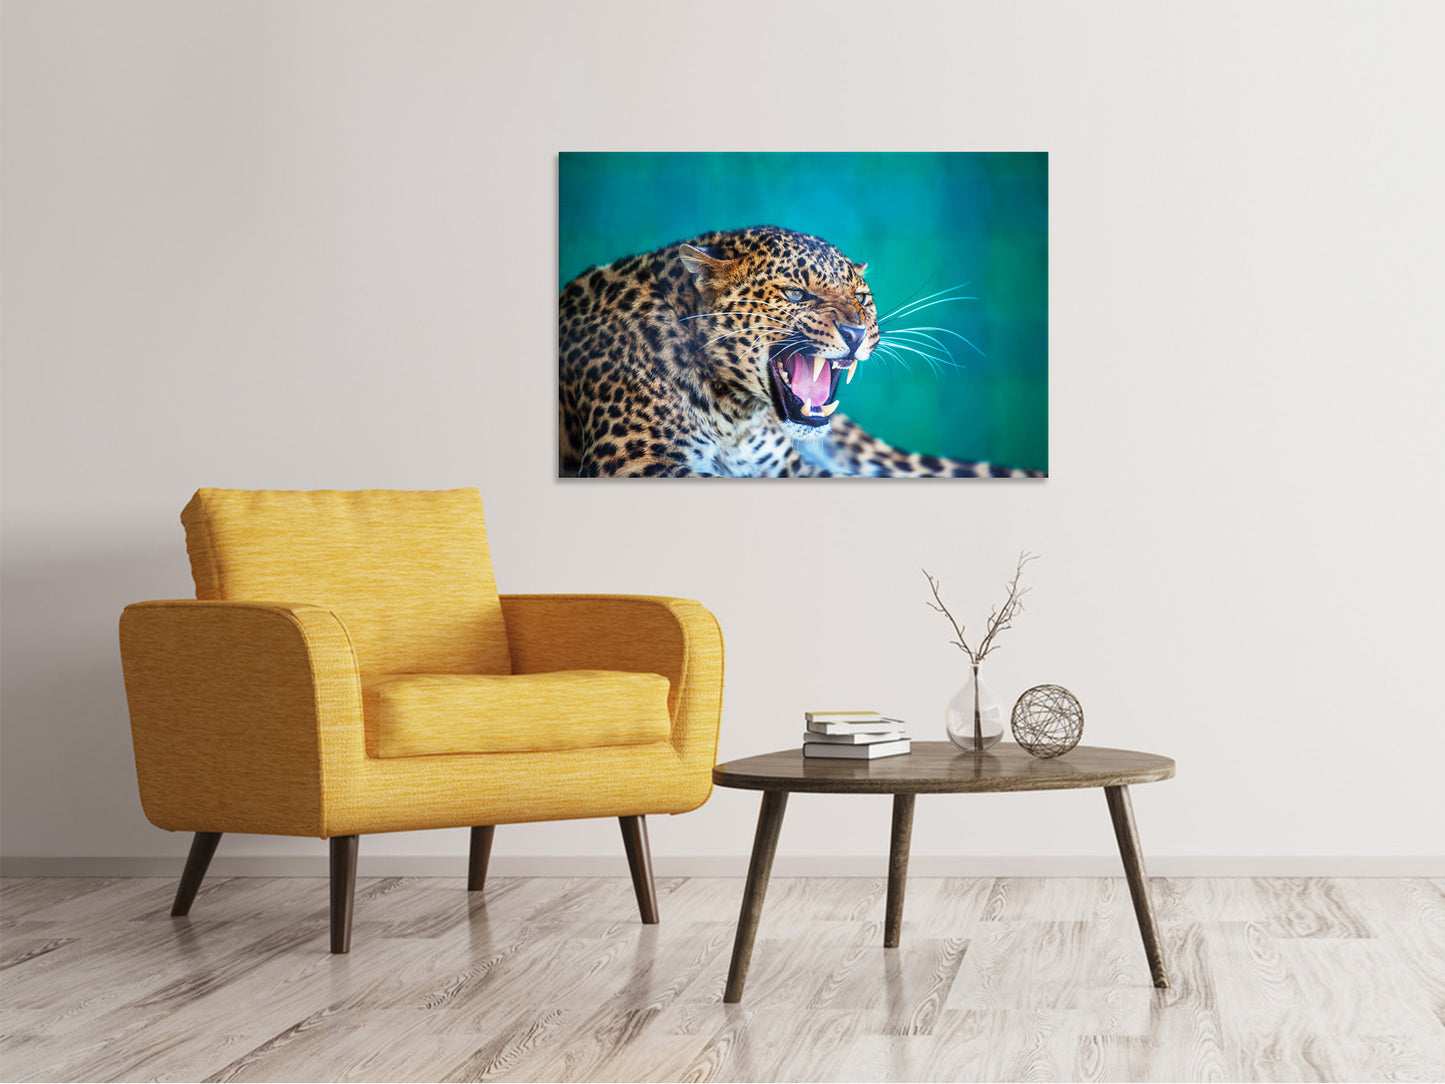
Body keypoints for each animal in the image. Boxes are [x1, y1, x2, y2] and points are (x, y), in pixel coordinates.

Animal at [558, 225, 1044, 478]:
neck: (734, 417)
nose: (855, 331)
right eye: (795, 294)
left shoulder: (794, 470)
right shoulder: (634, 464)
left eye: (861, 298)